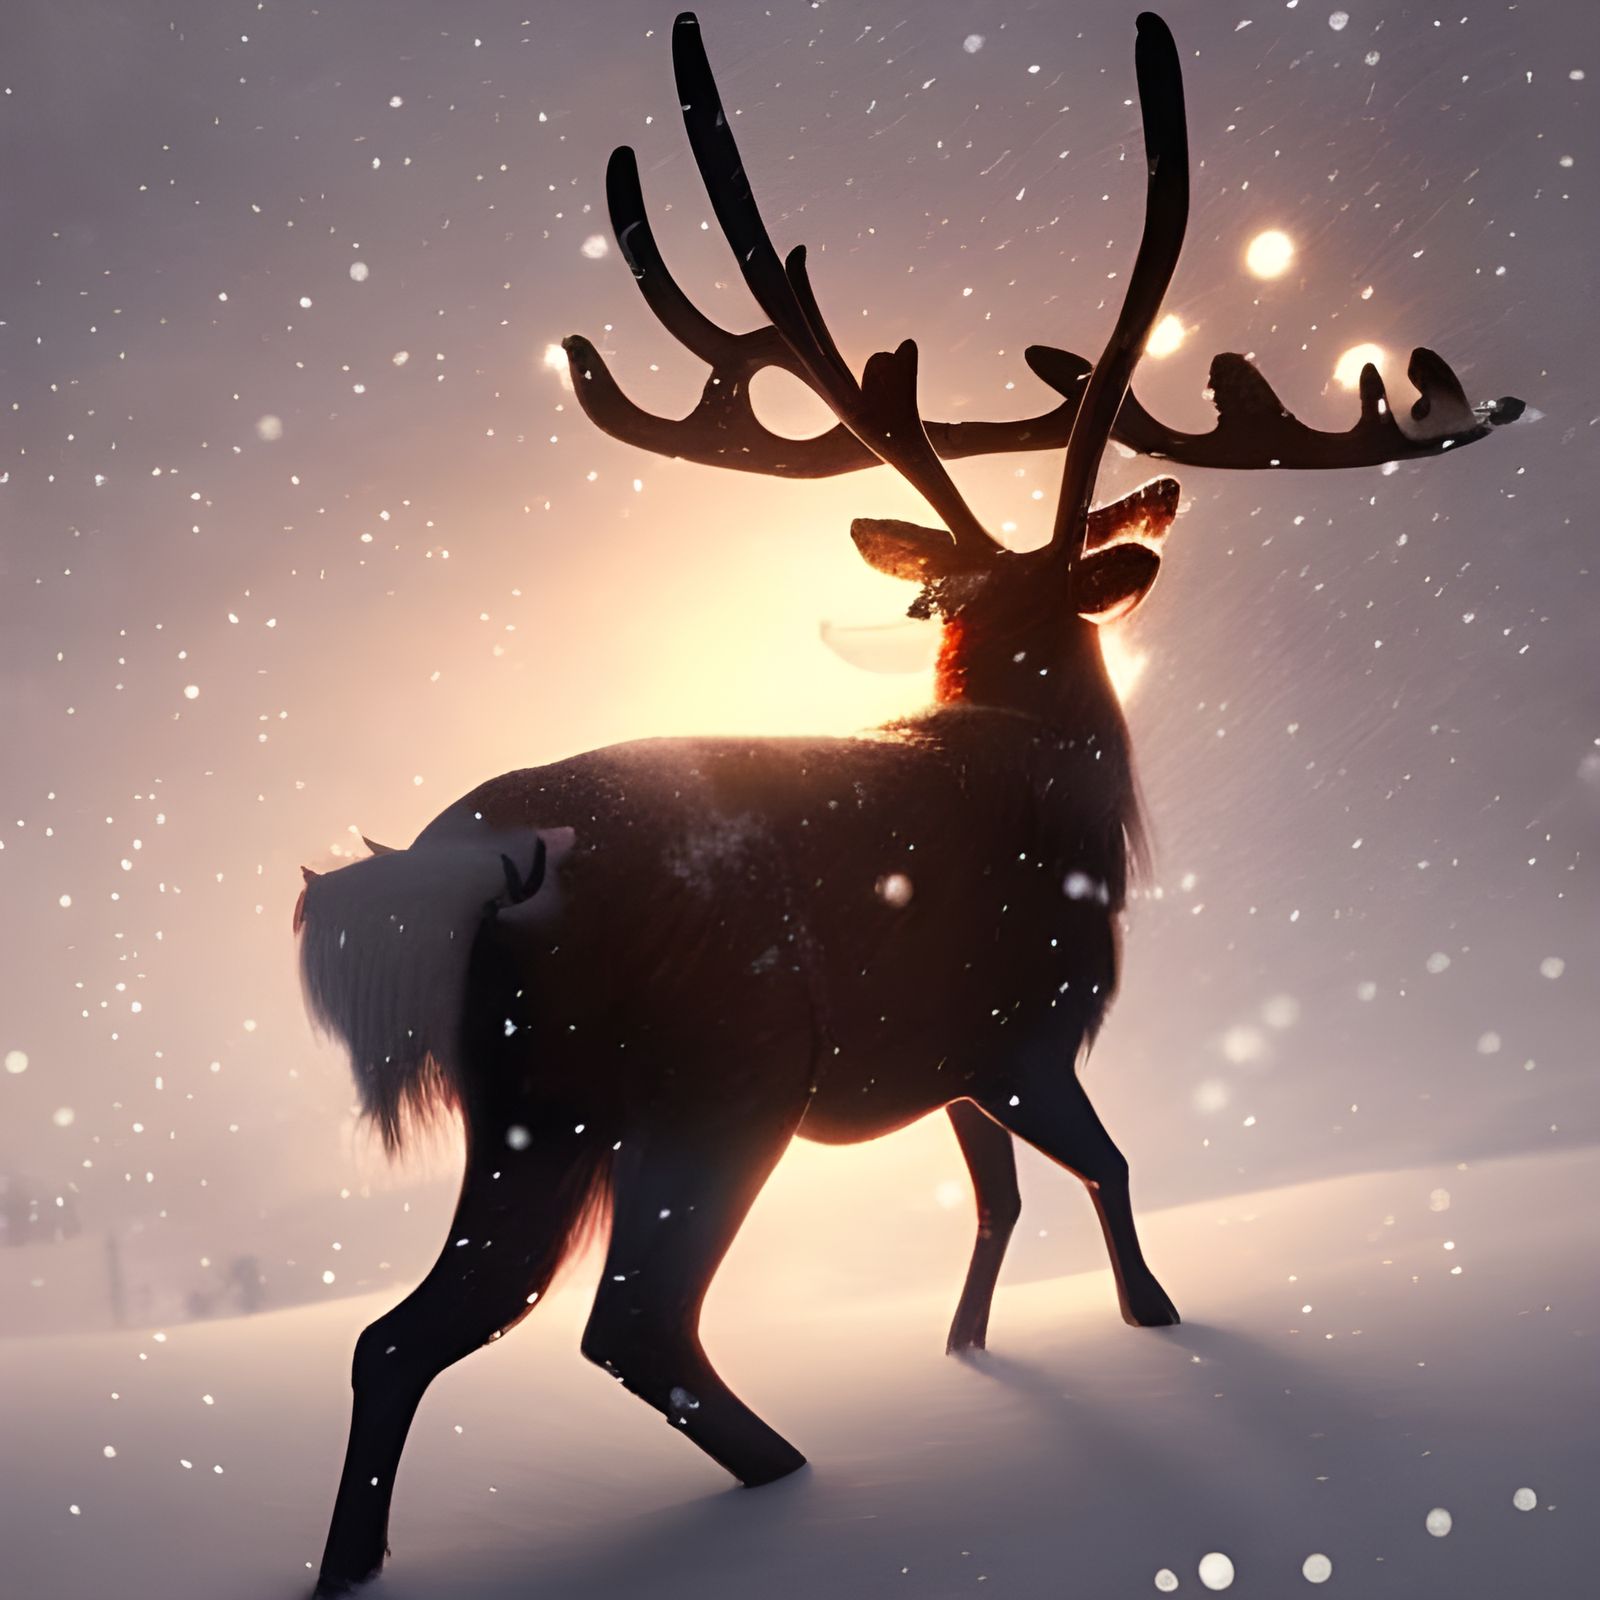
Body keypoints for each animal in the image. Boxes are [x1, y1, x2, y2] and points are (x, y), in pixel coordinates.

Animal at [295, 13, 1522, 1593]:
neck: (1049, 775)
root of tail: (495, 860)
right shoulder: (1025, 1024)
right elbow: (1107, 1169)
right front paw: (1162, 1326)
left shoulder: (939, 1061)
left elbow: (996, 1200)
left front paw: (968, 1349)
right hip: (716, 1075)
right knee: (630, 1323)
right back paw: (799, 1483)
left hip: (532, 1110)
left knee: (400, 1336)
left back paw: (352, 1562)